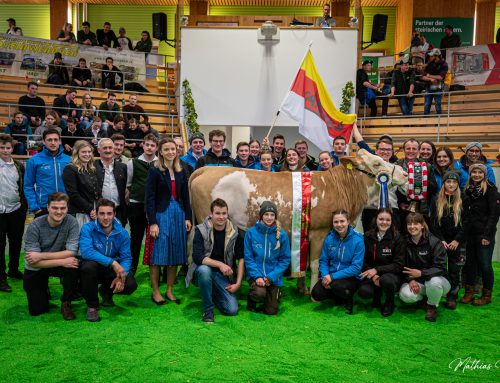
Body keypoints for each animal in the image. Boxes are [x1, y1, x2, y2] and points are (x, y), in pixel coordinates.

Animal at [189, 148, 408, 290]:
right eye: (377, 163)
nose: (405, 174)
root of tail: (206, 169)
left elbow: (306, 262)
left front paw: (302, 288)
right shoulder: (320, 231)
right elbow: (316, 263)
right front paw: (312, 292)